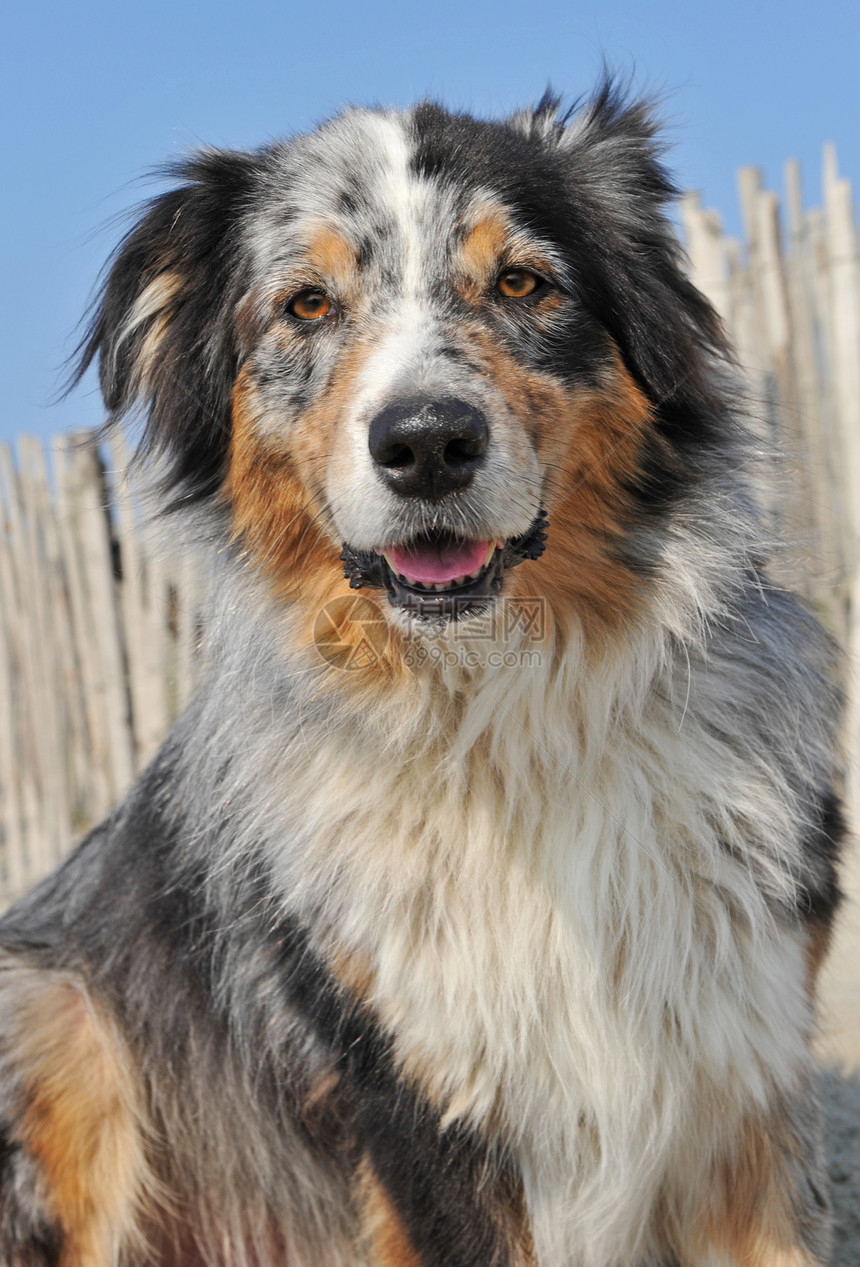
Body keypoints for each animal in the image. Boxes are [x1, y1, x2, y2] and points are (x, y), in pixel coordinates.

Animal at [0, 81, 846, 1267]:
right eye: (306, 306)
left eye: (522, 283)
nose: (427, 443)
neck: (499, 710)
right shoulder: (409, 1104)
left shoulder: (745, 1087)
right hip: (55, 1011)